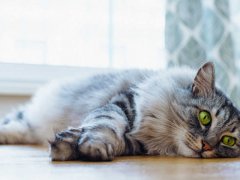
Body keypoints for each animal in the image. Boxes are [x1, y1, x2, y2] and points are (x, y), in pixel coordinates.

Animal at [0, 62, 240, 160]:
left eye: (228, 141)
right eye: (205, 117)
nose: (206, 146)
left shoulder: (139, 145)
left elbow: (118, 141)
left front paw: (73, 145)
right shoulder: (123, 103)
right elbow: (105, 124)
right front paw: (89, 144)